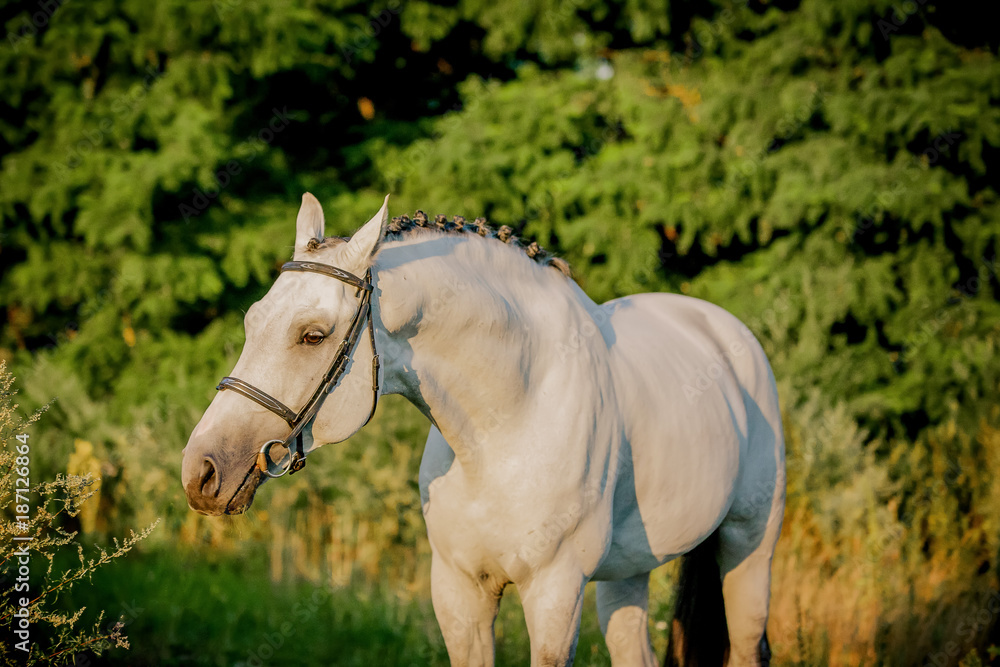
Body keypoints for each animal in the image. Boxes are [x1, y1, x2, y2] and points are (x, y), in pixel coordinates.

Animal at [181, 193, 785, 667]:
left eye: (313, 335)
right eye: (252, 321)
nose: (202, 471)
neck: (505, 427)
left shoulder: (555, 594)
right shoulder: (458, 593)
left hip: (749, 549)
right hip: (627, 574)